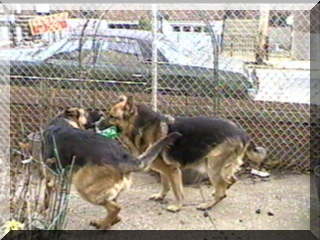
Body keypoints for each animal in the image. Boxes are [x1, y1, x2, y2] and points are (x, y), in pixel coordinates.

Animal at [41, 107, 181, 229]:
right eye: (87, 111)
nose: (101, 112)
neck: (64, 121)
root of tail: (124, 157)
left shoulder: (49, 178)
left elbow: (46, 199)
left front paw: (44, 213)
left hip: (84, 187)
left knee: (115, 208)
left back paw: (103, 225)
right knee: (117, 213)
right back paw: (103, 223)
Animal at [109, 95, 266, 212]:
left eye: (112, 117)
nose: (100, 125)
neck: (141, 126)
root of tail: (243, 132)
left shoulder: (173, 170)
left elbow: (177, 191)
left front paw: (177, 206)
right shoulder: (165, 170)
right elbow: (165, 185)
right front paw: (160, 196)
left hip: (212, 166)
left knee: (223, 186)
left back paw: (208, 205)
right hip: (221, 166)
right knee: (230, 181)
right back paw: (216, 193)